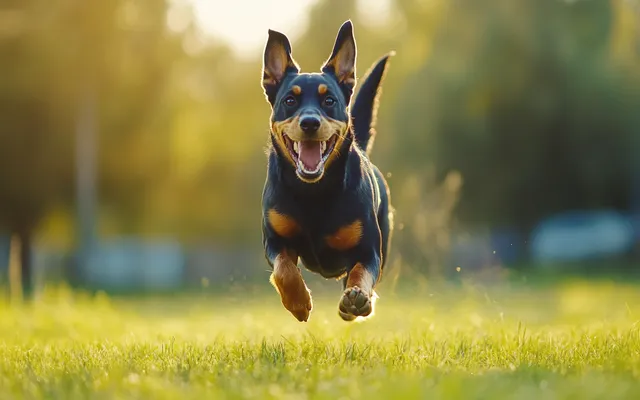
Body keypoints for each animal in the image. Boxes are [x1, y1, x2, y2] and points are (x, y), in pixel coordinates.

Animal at [258, 20, 390, 324]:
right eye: (290, 101)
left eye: (329, 101)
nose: (309, 122)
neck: (313, 192)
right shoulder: (275, 239)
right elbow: (283, 269)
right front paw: (297, 301)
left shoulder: (369, 249)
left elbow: (362, 271)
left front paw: (357, 298)